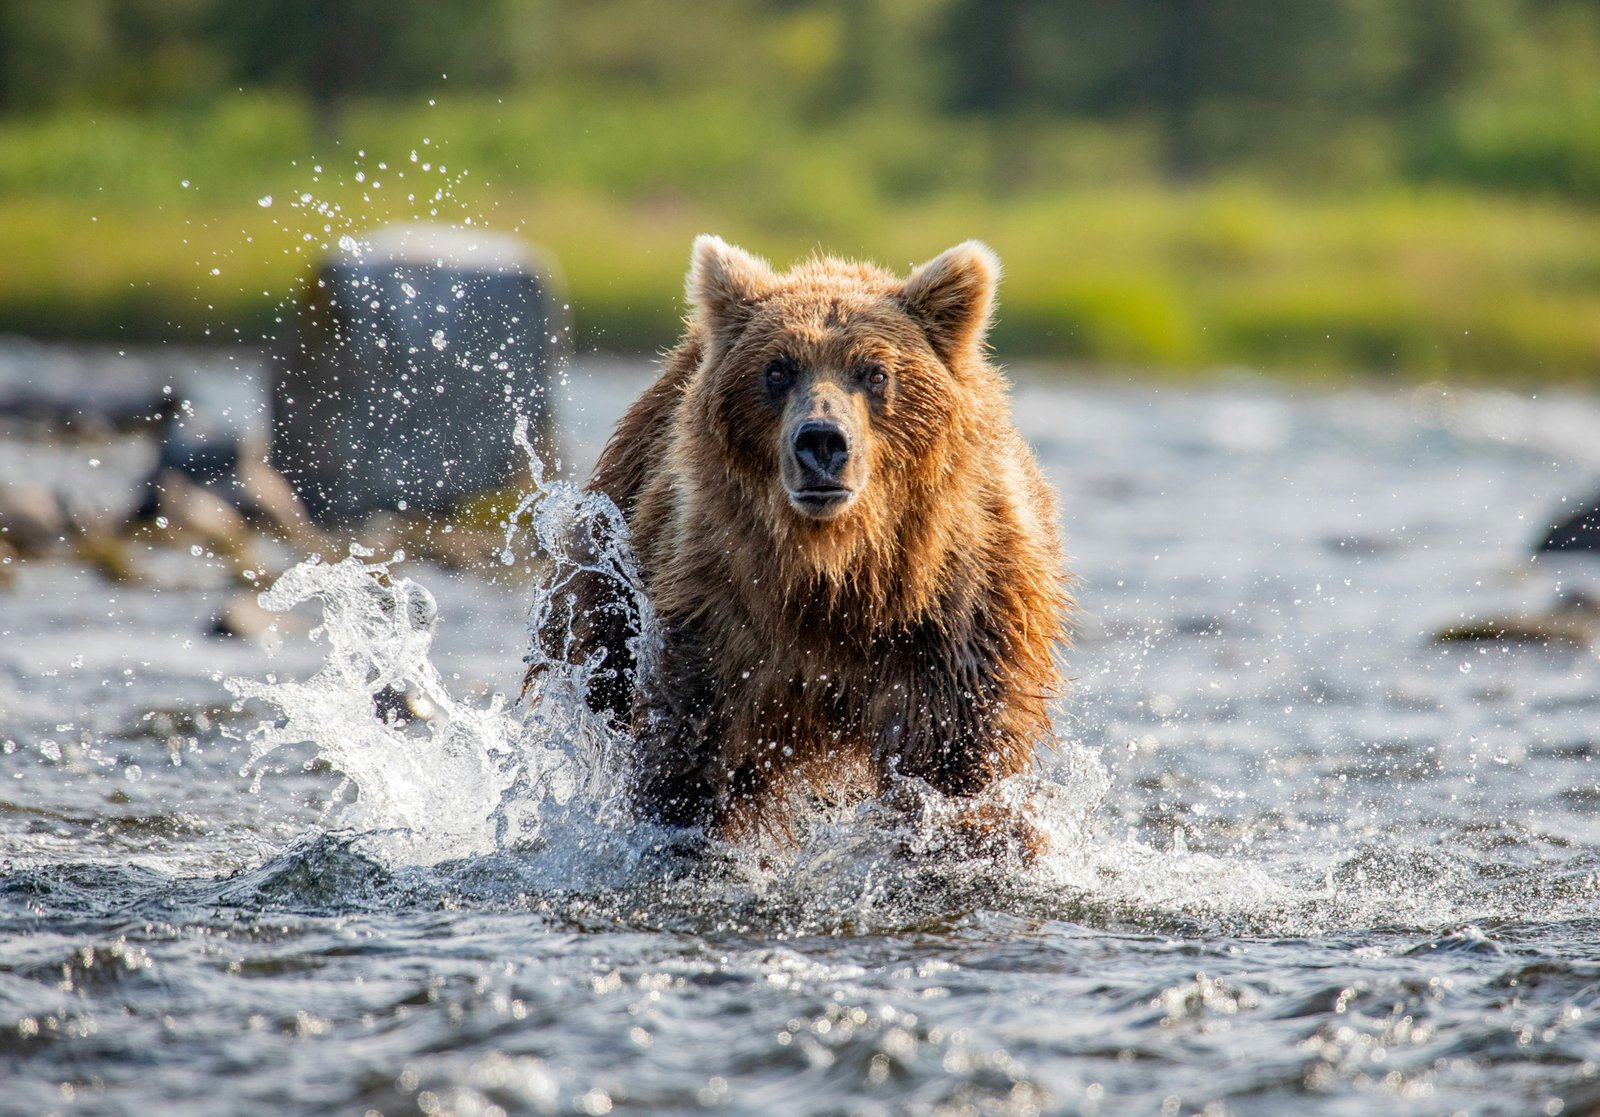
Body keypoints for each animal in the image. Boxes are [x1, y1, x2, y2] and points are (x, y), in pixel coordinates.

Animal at [531, 236, 1071, 845]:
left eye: (875, 372)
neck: (838, 571)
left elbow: (957, 762)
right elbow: (697, 758)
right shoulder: (722, 619)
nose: (822, 441)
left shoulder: (952, 619)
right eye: (777, 369)